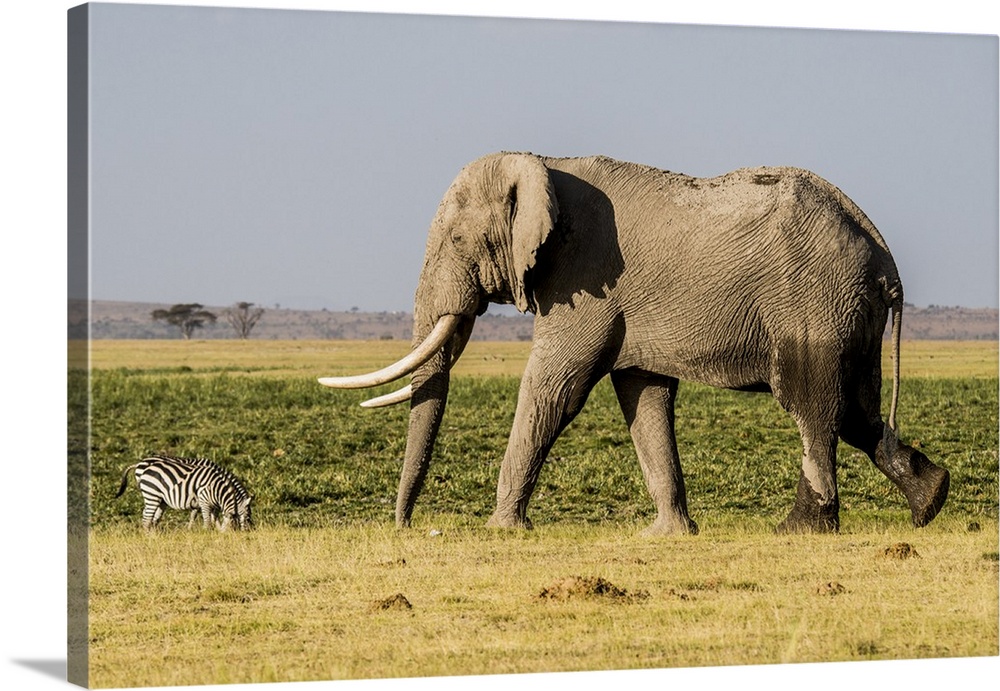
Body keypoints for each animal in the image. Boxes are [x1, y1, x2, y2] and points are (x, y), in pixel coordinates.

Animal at [116, 456, 254, 532]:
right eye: (248, 516)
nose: (250, 531)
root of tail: (139, 463)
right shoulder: (200, 497)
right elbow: (201, 515)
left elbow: (206, 515)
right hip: (151, 494)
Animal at [322, 151, 952, 536]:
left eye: (456, 240)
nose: (404, 527)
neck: (544, 164)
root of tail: (883, 254)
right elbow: (643, 397)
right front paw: (669, 534)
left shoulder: (584, 279)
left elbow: (554, 386)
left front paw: (500, 530)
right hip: (850, 314)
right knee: (858, 410)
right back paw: (931, 501)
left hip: (814, 302)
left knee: (811, 406)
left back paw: (797, 529)